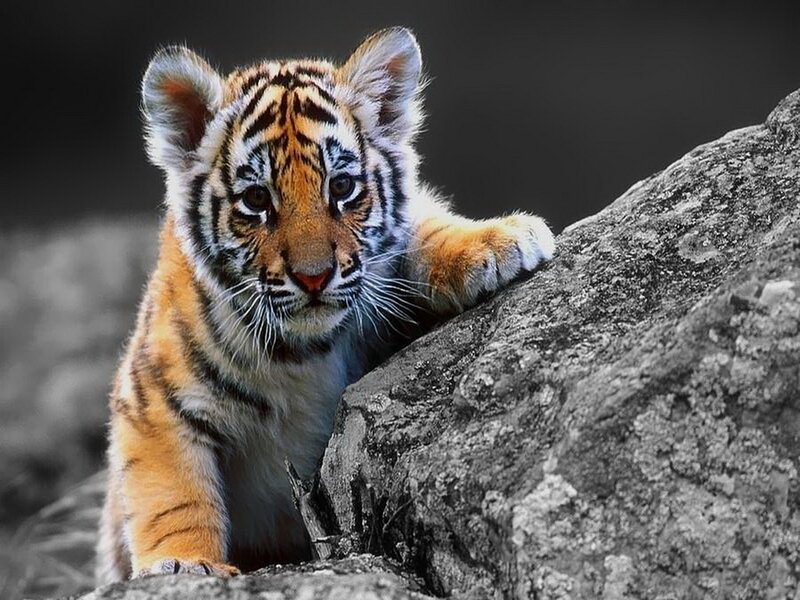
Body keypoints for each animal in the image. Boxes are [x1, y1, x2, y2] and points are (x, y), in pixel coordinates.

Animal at [96, 26, 554, 583]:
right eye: (256, 200)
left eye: (342, 187)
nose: (313, 276)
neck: (303, 353)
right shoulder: (153, 401)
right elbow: (174, 495)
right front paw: (184, 564)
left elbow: (421, 229)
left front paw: (499, 241)